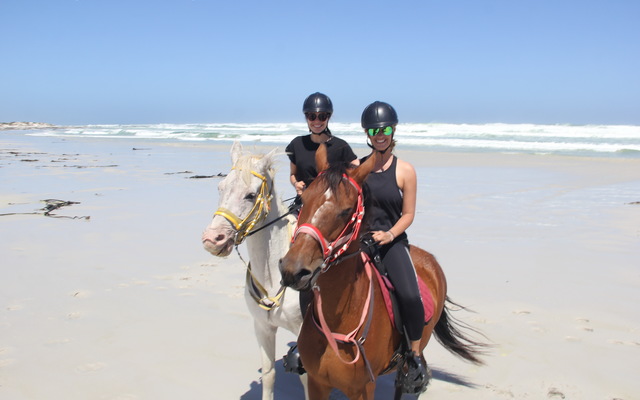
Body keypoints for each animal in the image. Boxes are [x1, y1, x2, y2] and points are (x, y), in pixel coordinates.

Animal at [278, 144, 485, 400]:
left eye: (346, 211)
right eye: (304, 199)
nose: (292, 270)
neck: (339, 323)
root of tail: (429, 259)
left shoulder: (363, 389)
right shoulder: (317, 384)